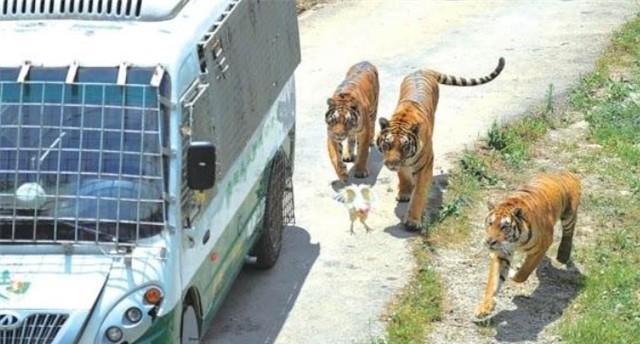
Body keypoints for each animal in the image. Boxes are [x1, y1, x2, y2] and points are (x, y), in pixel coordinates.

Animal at [376, 57, 504, 232]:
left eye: (404, 147)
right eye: (387, 145)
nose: (391, 163)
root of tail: (422, 70)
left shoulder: (425, 165)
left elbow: (419, 194)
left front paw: (413, 221)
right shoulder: (402, 165)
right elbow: (403, 175)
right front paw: (404, 192)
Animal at [472, 171, 584, 318]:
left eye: (504, 227)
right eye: (490, 223)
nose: (489, 242)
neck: (515, 241)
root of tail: (565, 172)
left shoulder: (542, 245)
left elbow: (524, 272)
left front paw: (513, 273)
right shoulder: (501, 253)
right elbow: (493, 281)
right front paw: (485, 307)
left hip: (569, 214)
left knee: (569, 231)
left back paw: (563, 255)